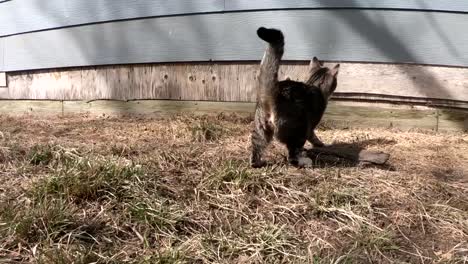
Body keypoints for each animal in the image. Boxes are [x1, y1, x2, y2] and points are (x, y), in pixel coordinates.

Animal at [249, 26, 340, 167]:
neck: (314, 85)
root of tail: (275, 95)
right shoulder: (311, 125)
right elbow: (313, 136)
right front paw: (319, 144)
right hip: (298, 132)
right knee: (292, 157)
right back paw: (305, 161)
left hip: (260, 131)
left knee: (255, 153)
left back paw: (258, 163)